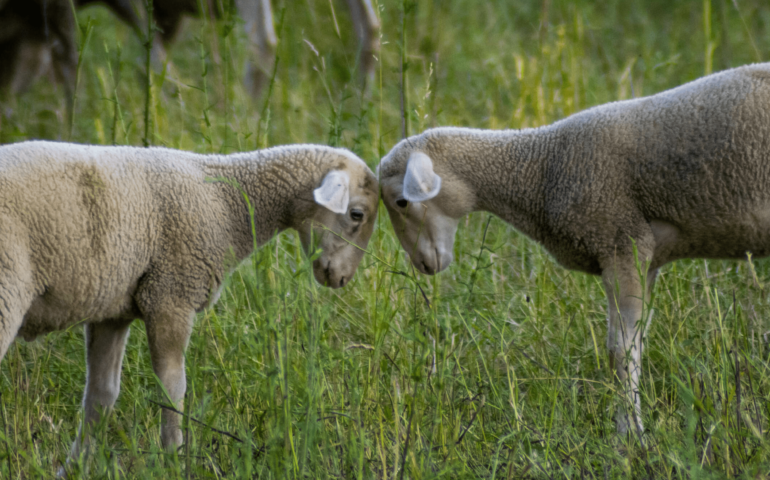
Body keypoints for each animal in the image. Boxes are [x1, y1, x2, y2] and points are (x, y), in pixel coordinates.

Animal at [0, 140, 376, 472]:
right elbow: (172, 389)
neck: (227, 203)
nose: (342, 279)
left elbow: (101, 396)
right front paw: (174, 458)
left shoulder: (112, 309)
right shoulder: (170, 294)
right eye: (356, 214)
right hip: (7, 289)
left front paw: (75, 467)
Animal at [376, 62, 768, 436]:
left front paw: (630, 435)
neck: (539, 169)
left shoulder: (620, 242)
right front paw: (630, 425)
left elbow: (620, 351)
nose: (423, 264)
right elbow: (636, 344)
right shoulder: (645, 255)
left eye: (401, 201)